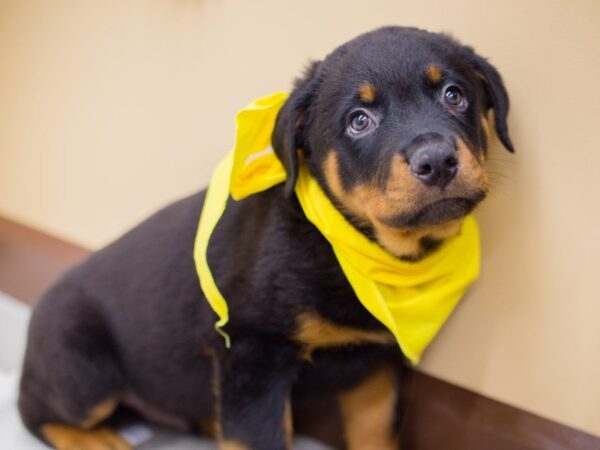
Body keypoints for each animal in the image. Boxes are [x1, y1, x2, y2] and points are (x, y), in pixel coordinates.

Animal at [19, 25, 516, 450]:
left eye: (454, 95)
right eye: (359, 121)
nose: (437, 161)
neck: (350, 247)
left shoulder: (379, 366)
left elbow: (378, 434)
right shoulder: (252, 352)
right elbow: (259, 435)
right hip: (85, 371)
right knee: (35, 409)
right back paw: (97, 440)